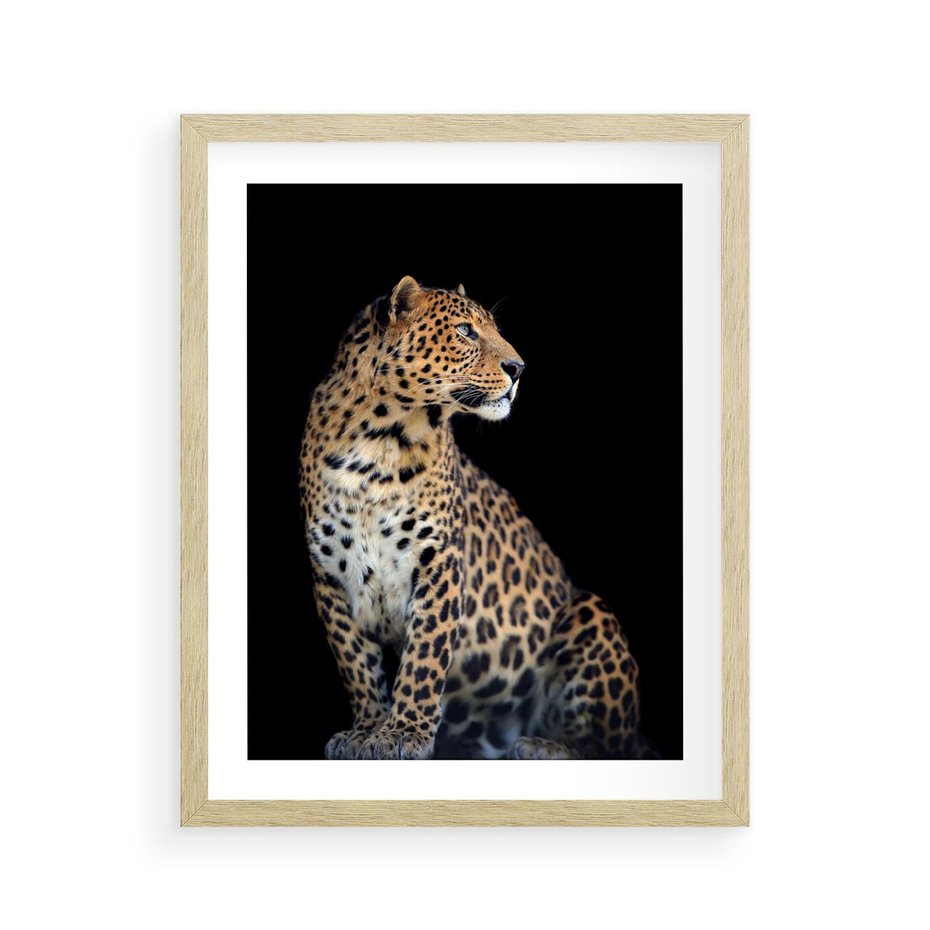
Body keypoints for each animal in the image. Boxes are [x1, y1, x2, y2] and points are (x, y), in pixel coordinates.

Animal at [300, 276, 647, 760]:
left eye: (494, 329)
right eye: (465, 331)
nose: (519, 368)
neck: (378, 442)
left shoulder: (439, 562)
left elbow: (424, 657)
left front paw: (403, 734)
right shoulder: (330, 574)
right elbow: (357, 664)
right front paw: (366, 730)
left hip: (590, 613)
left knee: (610, 745)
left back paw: (542, 746)